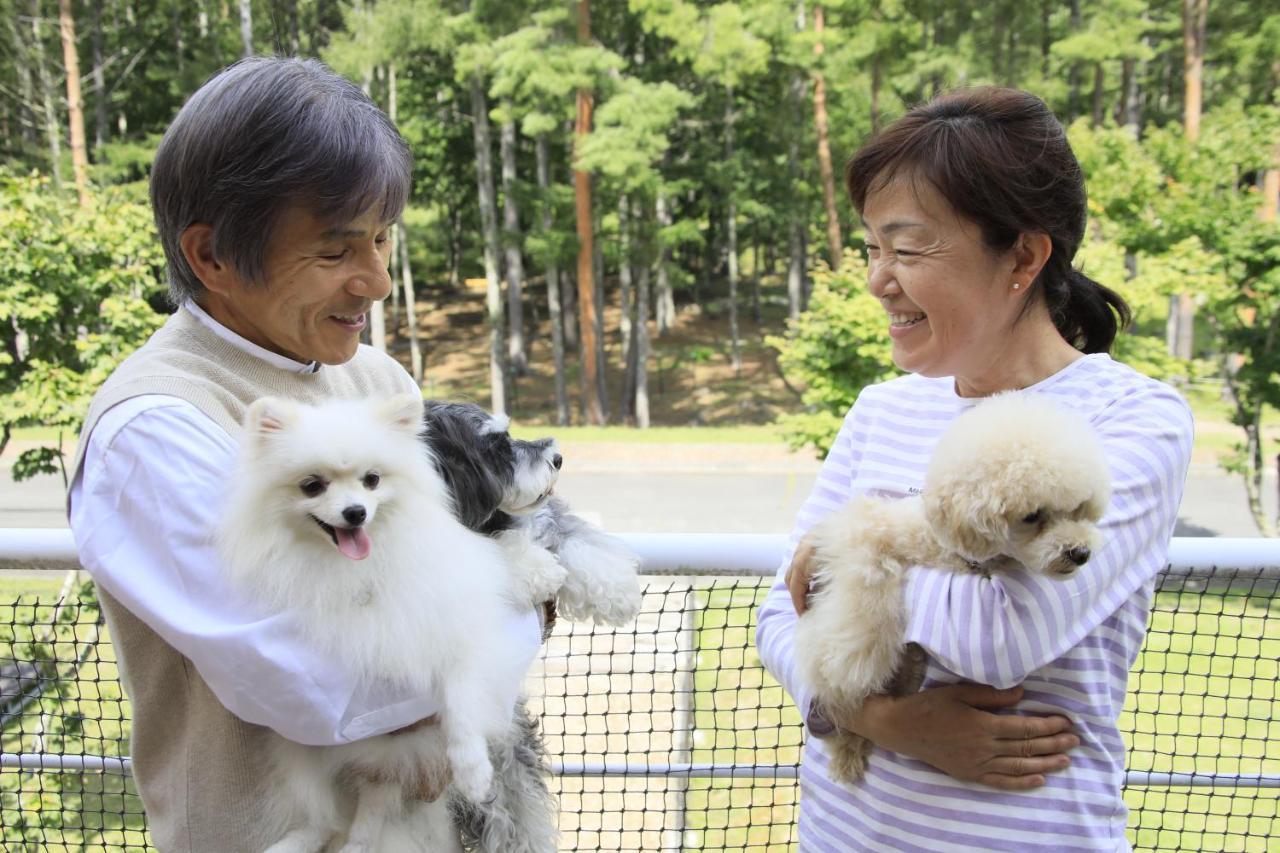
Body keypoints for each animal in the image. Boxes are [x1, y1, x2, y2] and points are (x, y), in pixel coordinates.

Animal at [217, 391, 527, 850]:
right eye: (313, 485)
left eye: (372, 480)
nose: (355, 513)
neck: (365, 561)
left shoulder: (466, 635)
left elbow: (462, 701)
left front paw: (474, 773)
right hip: (299, 752)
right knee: (325, 815)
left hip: (389, 762)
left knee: (373, 802)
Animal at [419, 399, 640, 850]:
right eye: (495, 447)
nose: (557, 457)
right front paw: (532, 570)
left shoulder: (537, 520)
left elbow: (568, 536)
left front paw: (617, 590)